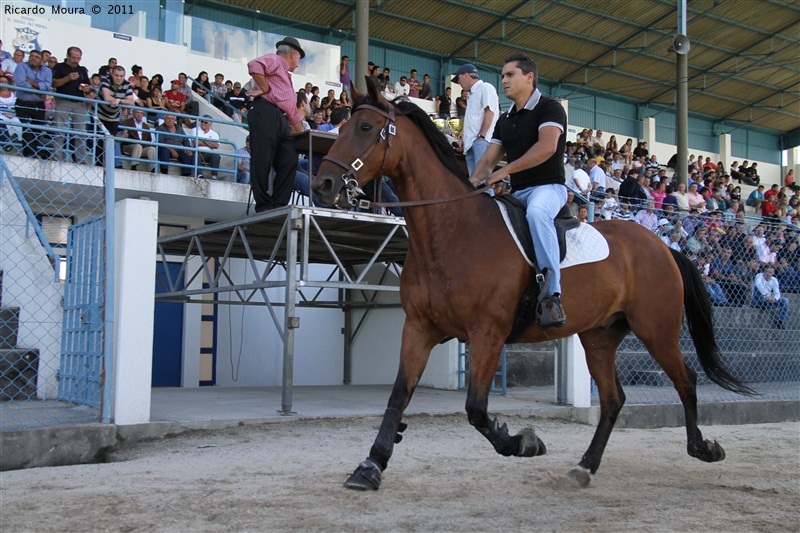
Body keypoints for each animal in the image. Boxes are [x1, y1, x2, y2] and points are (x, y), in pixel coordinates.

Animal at [310, 81, 752, 488]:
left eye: (365, 127)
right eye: (343, 124)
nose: (324, 185)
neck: (453, 231)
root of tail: (661, 246)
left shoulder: (487, 332)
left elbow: (476, 408)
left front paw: (524, 443)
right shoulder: (420, 327)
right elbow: (399, 395)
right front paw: (371, 466)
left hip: (656, 329)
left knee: (686, 381)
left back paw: (703, 448)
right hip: (599, 336)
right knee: (613, 399)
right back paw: (585, 466)